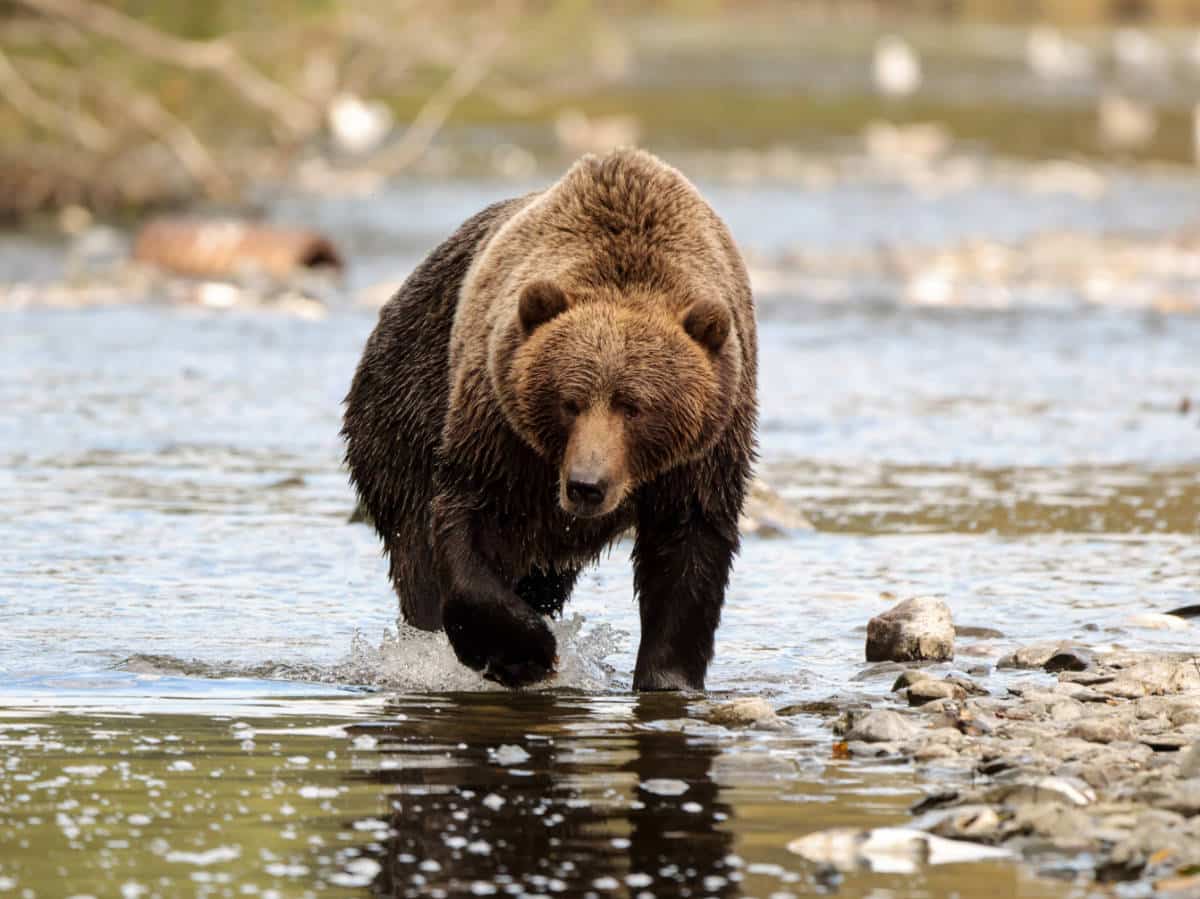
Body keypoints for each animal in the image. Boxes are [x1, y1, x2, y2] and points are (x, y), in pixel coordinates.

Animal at [342, 148, 757, 691]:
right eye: (569, 401)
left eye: (635, 407)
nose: (586, 485)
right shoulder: (498, 429)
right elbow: (464, 520)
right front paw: (523, 651)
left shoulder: (705, 454)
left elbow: (688, 553)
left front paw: (668, 678)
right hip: (402, 403)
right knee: (415, 551)